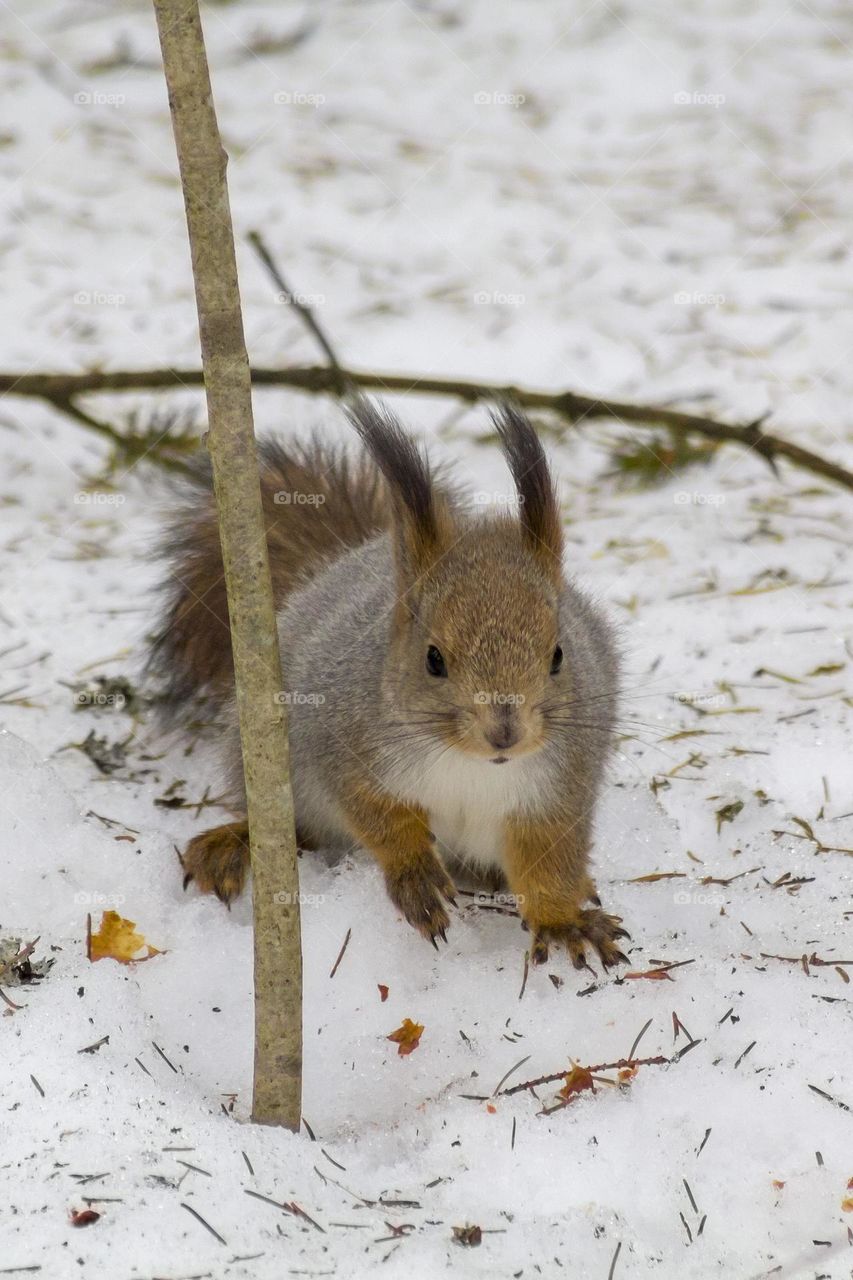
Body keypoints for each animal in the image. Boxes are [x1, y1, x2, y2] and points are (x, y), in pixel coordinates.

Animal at [148, 399, 627, 969]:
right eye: (433, 659)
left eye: (558, 655)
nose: (504, 733)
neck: (470, 763)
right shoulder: (343, 745)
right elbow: (375, 814)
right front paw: (415, 876)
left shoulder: (558, 788)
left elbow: (550, 858)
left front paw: (562, 921)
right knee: (293, 826)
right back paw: (233, 845)